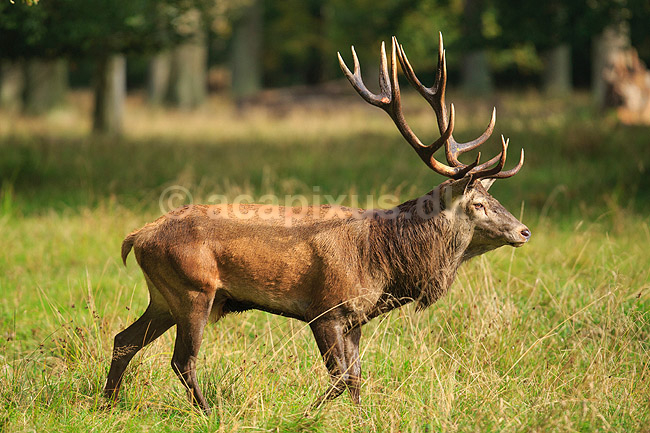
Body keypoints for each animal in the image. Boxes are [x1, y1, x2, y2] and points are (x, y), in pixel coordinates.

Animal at [104, 33, 530, 414]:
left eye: (494, 199)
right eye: (478, 204)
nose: (524, 231)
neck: (384, 259)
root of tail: (137, 237)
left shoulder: (356, 317)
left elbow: (357, 379)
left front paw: (361, 419)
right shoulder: (326, 309)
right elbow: (340, 378)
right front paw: (306, 414)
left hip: (164, 296)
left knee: (124, 339)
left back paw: (107, 405)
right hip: (194, 289)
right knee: (182, 360)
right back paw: (210, 413)